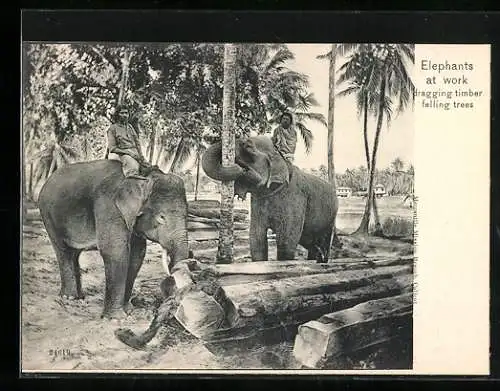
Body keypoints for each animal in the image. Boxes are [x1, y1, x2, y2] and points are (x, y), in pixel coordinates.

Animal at [38, 160, 189, 322]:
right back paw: (69, 298)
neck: (141, 176)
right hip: (49, 217)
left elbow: (137, 254)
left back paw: (80, 297)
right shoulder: (110, 208)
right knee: (63, 251)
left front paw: (129, 311)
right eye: (161, 217)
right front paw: (116, 318)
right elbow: (115, 251)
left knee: (74, 254)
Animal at [202, 136, 340, 264]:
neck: (281, 157)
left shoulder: (296, 198)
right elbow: (256, 238)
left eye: (248, 146)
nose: (239, 168)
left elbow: (286, 241)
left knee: (324, 240)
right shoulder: (258, 202)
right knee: (311, 242)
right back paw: (316, 259)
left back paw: (323, 261)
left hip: (331, 217)